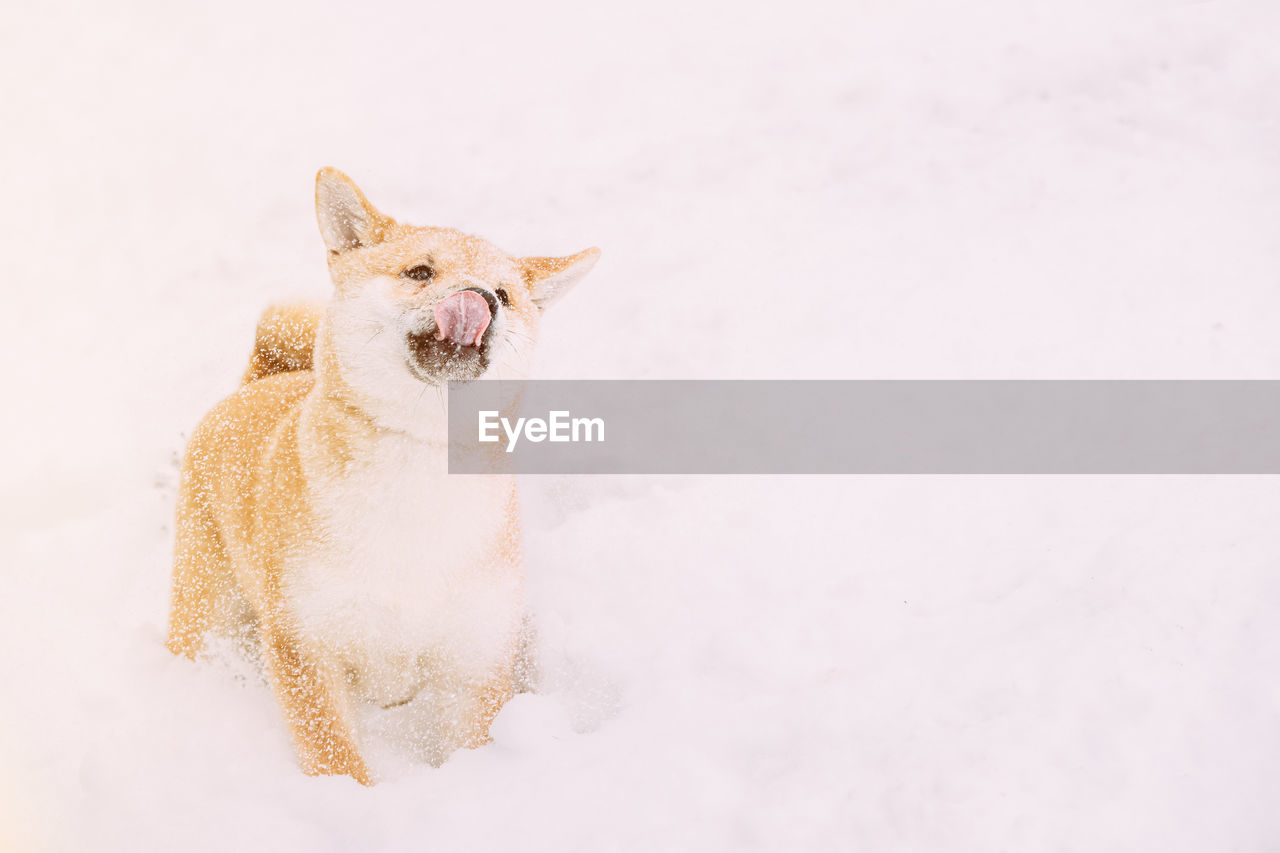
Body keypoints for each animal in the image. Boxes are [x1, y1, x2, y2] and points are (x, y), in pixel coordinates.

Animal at [165, 167, 599, 783]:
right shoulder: (306, 643)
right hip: (208, 614)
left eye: (506, 295)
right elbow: (336, 760)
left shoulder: (475, 655)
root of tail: (260, 380)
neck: (415, 468)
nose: (479, 298)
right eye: (420, 272)